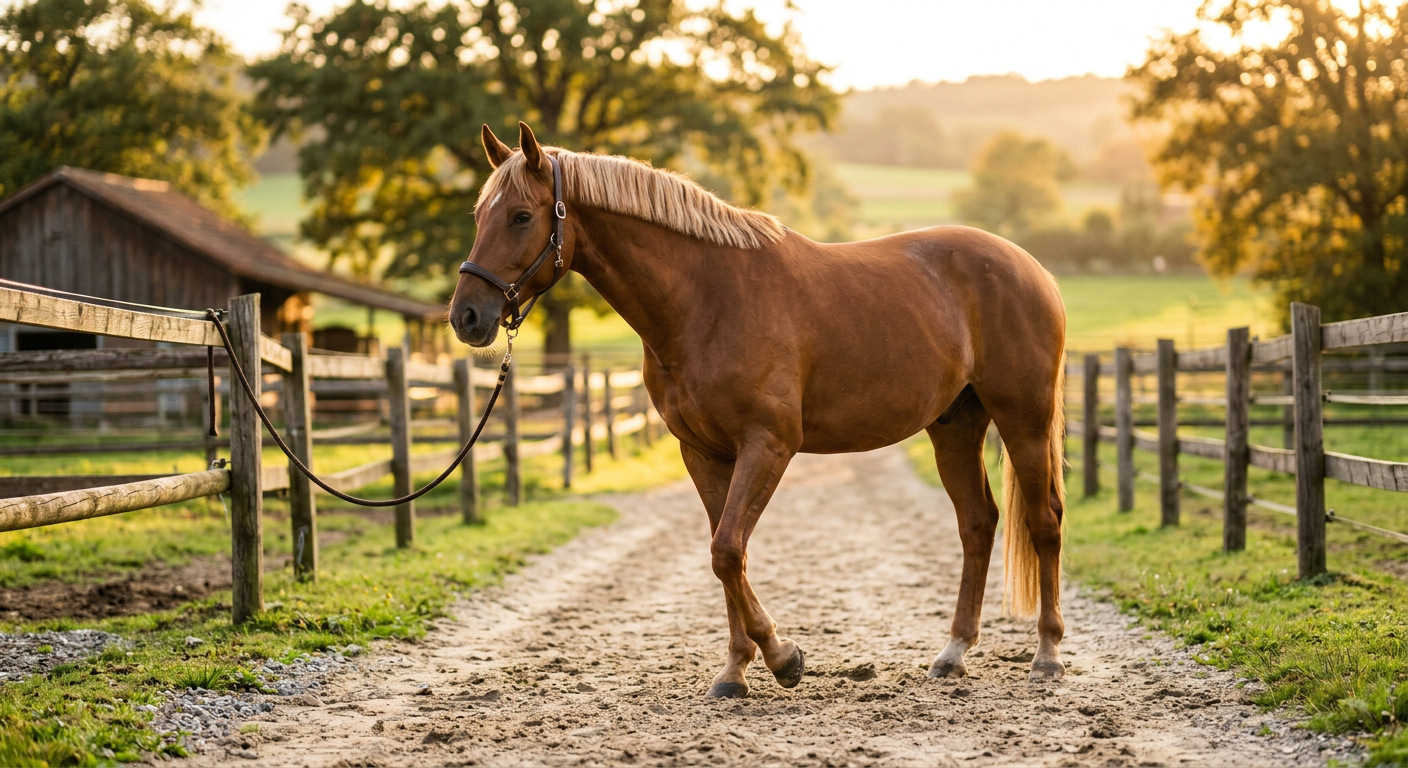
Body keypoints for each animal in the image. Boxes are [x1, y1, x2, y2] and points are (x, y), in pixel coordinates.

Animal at [450, 122, 1068, 699]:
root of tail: (1033, 268)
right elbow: (726, 554)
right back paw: (953, 653)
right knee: (978, 523)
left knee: (1044, 522)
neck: (706, 300)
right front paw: (736, 671)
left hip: (1024, 420)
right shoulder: (703, 452)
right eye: (478, 215)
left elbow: (726, 550)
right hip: (955, 426)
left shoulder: (768, 445)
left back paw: (1047, 657)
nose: (467, 317)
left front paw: (782, 657)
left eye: (521, 217)